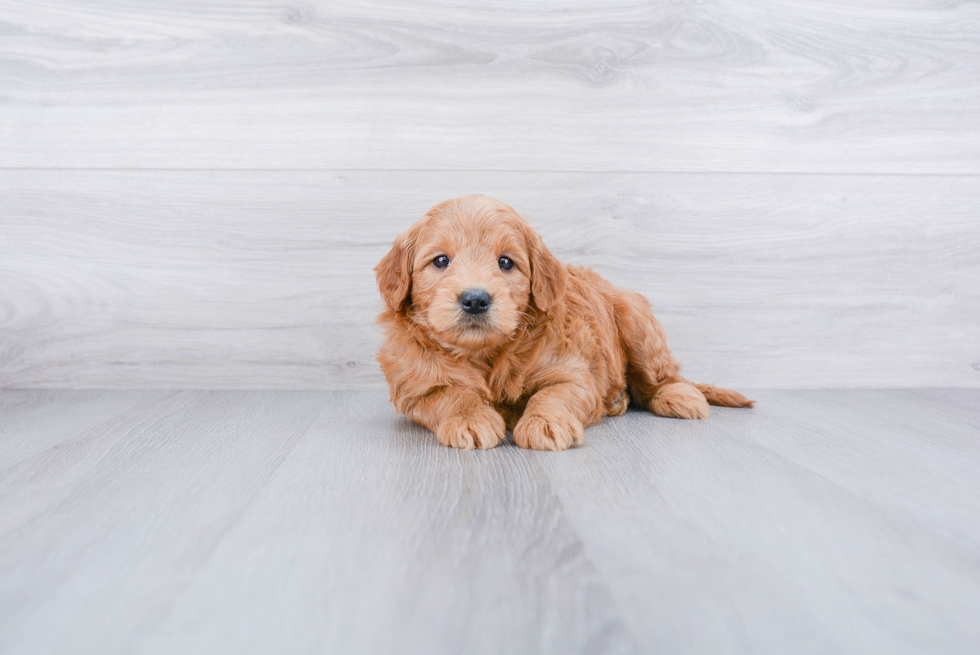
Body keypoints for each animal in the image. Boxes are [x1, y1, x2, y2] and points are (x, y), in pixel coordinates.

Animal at [374, 195, 752, 452]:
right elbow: (451, 394)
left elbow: (554, 394)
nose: (476, 299)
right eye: (440, 261)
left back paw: (675, 396)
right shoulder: (415, 387)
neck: (487, 355)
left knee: (661, 378)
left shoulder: (574, 372)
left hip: (635, 317)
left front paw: (545, 423)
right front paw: (470, 418)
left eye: (505, 262)